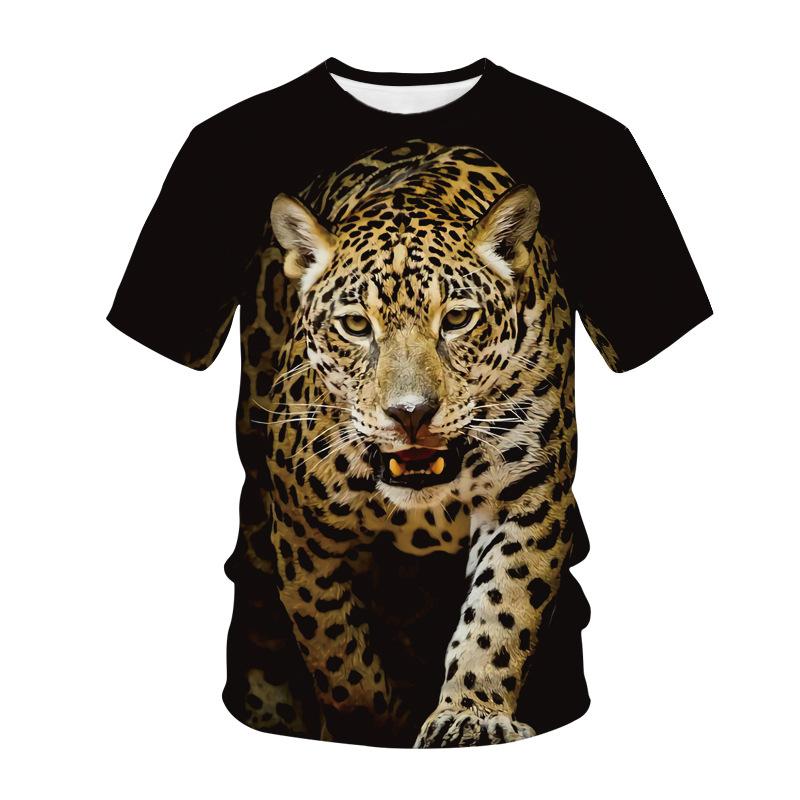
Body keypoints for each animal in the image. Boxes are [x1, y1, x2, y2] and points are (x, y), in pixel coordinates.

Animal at [216, 139, 590, 747]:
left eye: (457, 319)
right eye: (355, 326)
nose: (410, 414)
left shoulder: (529, 497)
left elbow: (502, 611)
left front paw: (469, 716)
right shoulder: (301, 532)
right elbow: (336, 653)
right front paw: (372, 726)